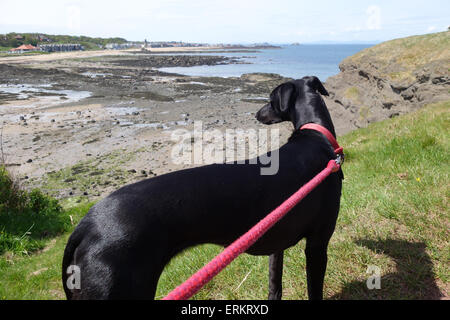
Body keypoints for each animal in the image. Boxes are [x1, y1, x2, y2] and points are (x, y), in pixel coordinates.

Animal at [63, 75, 342, 300]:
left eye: (270, 100)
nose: (257, 114)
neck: (315, 135)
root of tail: (85, 226)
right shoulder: (317, 244)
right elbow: (314, 290)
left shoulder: (278, 242)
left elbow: (275, 285)